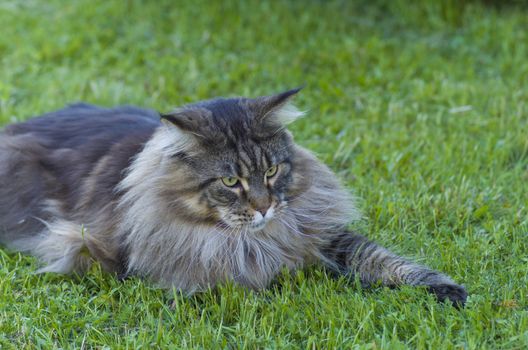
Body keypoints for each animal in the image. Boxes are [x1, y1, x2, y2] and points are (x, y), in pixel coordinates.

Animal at [0, 89, 468, 306]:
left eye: (272, 171)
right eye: (229, 182)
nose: (264, 207)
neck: (256, 239)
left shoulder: (321, 235)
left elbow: (382, 259)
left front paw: (444, 290)